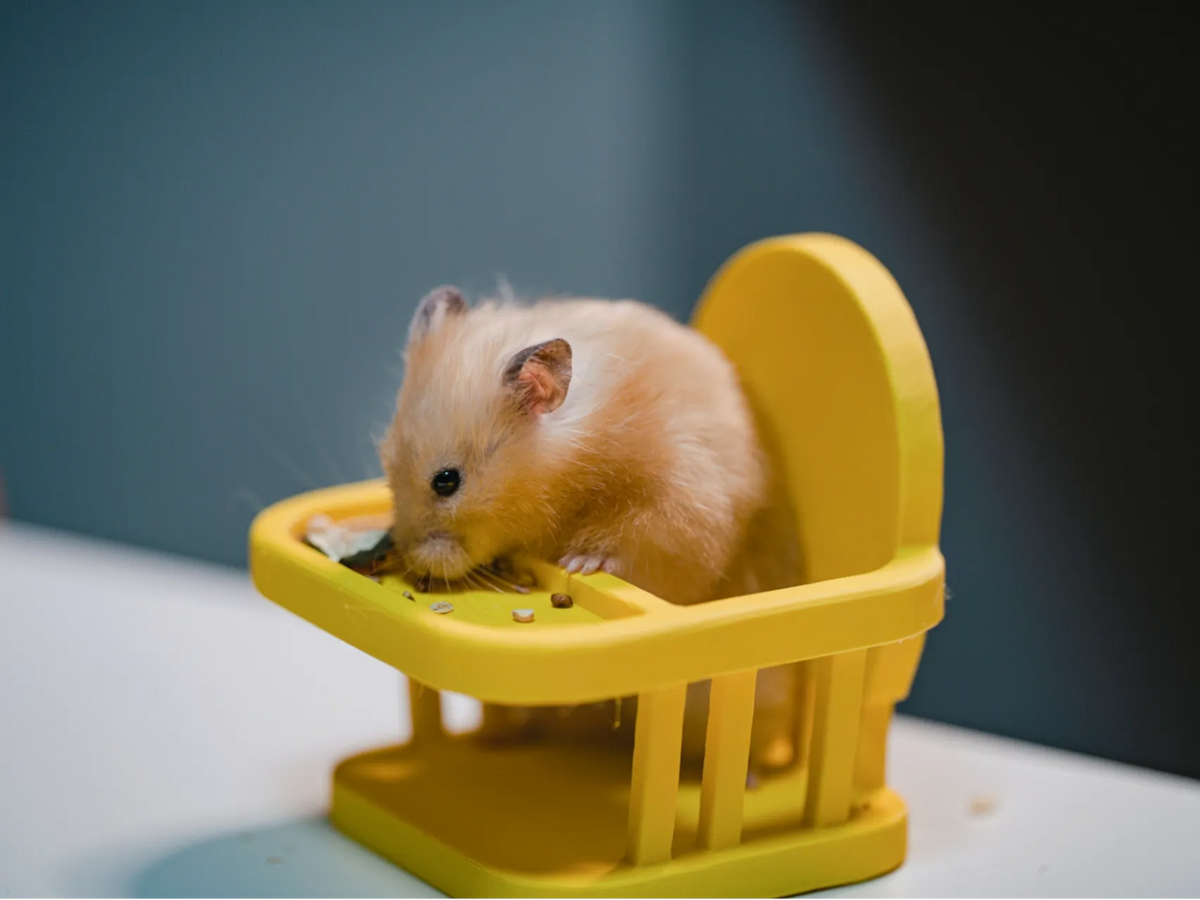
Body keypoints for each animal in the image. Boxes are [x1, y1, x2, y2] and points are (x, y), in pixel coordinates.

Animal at [380, 286, 803, 768]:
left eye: (447, 481)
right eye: (387, 460)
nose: (412, 562)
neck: (571, 469)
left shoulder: (683, 505)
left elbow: (639, 543)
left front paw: (580, 562)